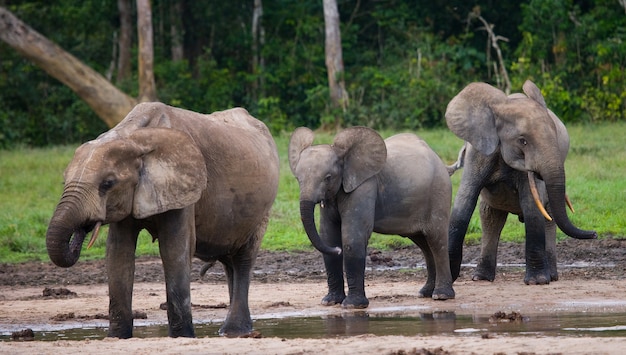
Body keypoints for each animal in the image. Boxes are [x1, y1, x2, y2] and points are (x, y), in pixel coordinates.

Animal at [44, 103, 278, 340]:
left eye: (107, 184)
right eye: (64, 182)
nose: (84, 228)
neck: (134, 137)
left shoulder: (184, 185)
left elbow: (174, 249)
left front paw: (182, 337)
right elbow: (118, 252)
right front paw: (117, 337)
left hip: (263, 209)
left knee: (243, 259)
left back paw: (234, 331)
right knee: (230, 262)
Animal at [288, 126, 454, 308]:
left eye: (328, 178)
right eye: (297, 179)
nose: (338, 250)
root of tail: (440, 161)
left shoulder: (364, 186)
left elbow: (353, 237)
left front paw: (353, 305)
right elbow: (329, 236)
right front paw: (330, 301)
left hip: (439, 192)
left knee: (436, 240)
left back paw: (441, 295)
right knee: (424, 243)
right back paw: (425, 293)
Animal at [444, 80, 596, 286]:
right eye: (522, 141)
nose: (595, 233)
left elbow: (532, 208)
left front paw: (537, 281)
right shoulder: (478, 153)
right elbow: (464, 203)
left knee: (548, 217)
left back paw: (552, 277)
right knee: (490, 217)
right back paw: (481, 278)